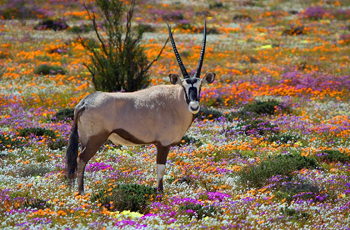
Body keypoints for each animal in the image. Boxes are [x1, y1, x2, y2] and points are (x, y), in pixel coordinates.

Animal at [64, 21, 215, 195]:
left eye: (200, 86)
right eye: (184, 86)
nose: (194, 105)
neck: (175, 101)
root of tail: (84, 102)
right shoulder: (163, 144)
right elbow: (161, 169)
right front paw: (160, 193)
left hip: (85, 139)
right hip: (96, 139)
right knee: (81, 159)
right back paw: (81, 192)